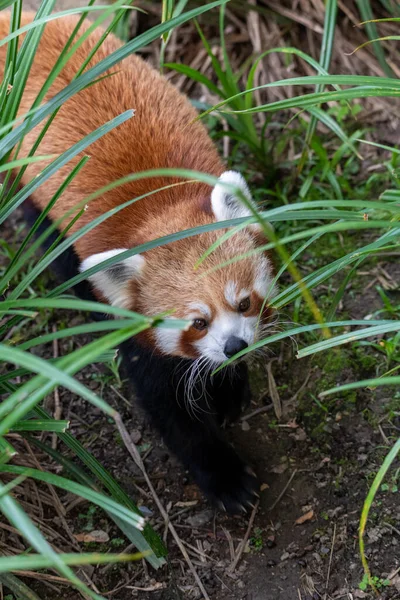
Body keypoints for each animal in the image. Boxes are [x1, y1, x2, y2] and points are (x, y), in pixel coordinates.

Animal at [0, 12, 276, 510]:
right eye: (197, 323)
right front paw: (226, 479)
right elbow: (172, 415)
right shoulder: (135, 333)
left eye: (244, 302)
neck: (159, 208)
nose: (234, 347)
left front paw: (229, 390)